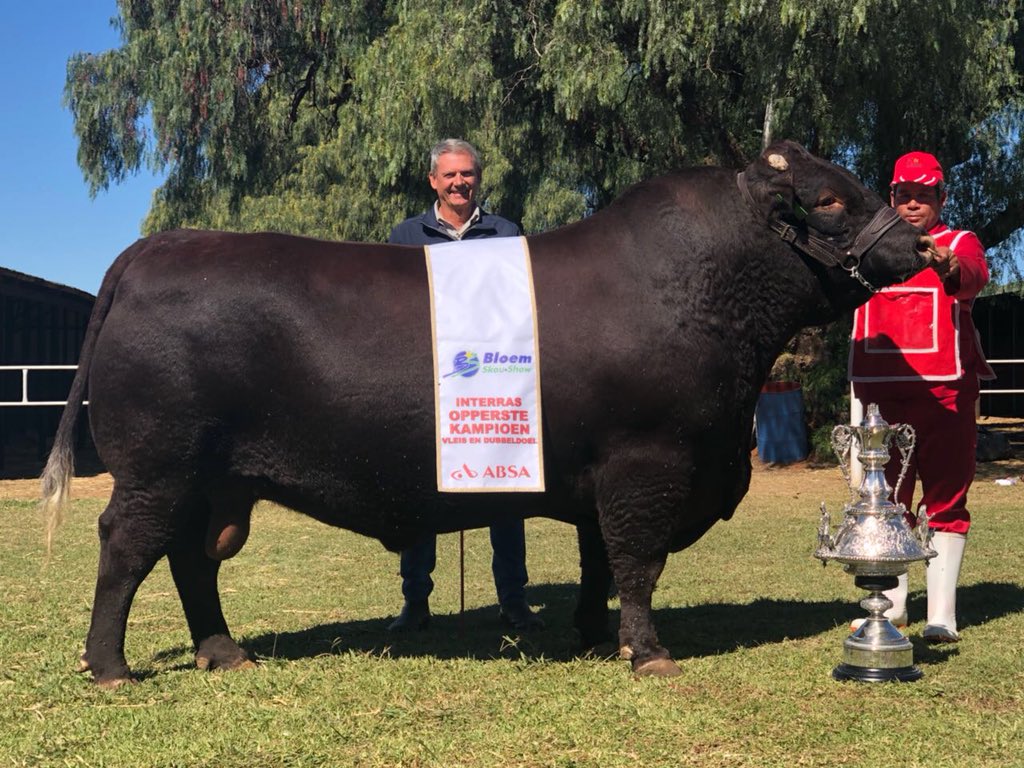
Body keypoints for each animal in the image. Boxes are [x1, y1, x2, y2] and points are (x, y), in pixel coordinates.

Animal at [42, 140, 934, 686]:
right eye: (830, 199)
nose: (919, 245)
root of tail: (159, 245)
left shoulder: (602, 474)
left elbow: (599, 562)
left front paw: (590, 632)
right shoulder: (648, 463)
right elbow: (638, 562)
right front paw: (648, 653)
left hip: (213, 480)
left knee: (191, 560)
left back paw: (223, 652)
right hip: (159, 466)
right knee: (126, 548)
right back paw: (109, 665)